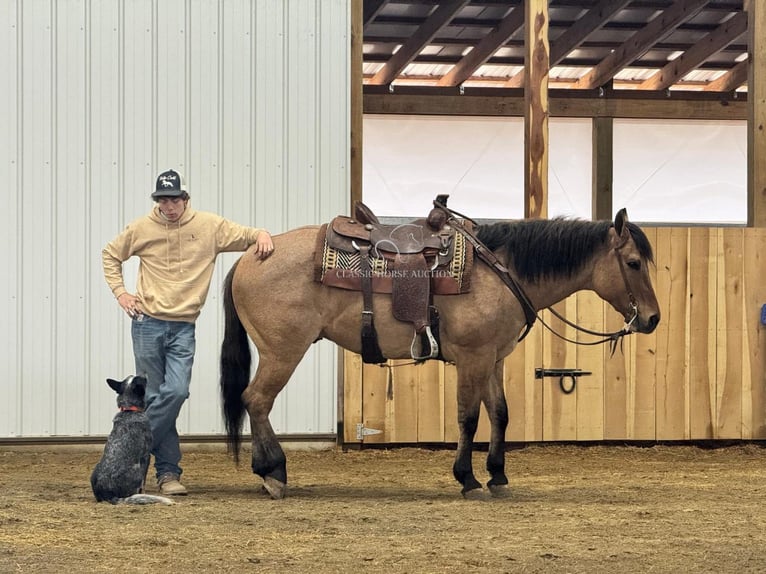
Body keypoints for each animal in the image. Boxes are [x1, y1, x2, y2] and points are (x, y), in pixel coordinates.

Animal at [91, 378, 173, 508]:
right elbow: (144, 483)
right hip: (137, 469)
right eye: (143, 380)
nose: (146, 375)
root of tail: (108, 494)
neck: (129, 410)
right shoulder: (146, 457)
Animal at [220, 202, 660, 500]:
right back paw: (273, 473)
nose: (652, 318)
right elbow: (468, 418)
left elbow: (500, 414)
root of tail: (250, 256)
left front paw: (498, 475)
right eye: (633, 263)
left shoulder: (493, 358)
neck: (499, 272)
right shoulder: (472, 357)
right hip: (283, 352)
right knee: (256, 400)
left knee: (252, 401)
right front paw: (468, 478)